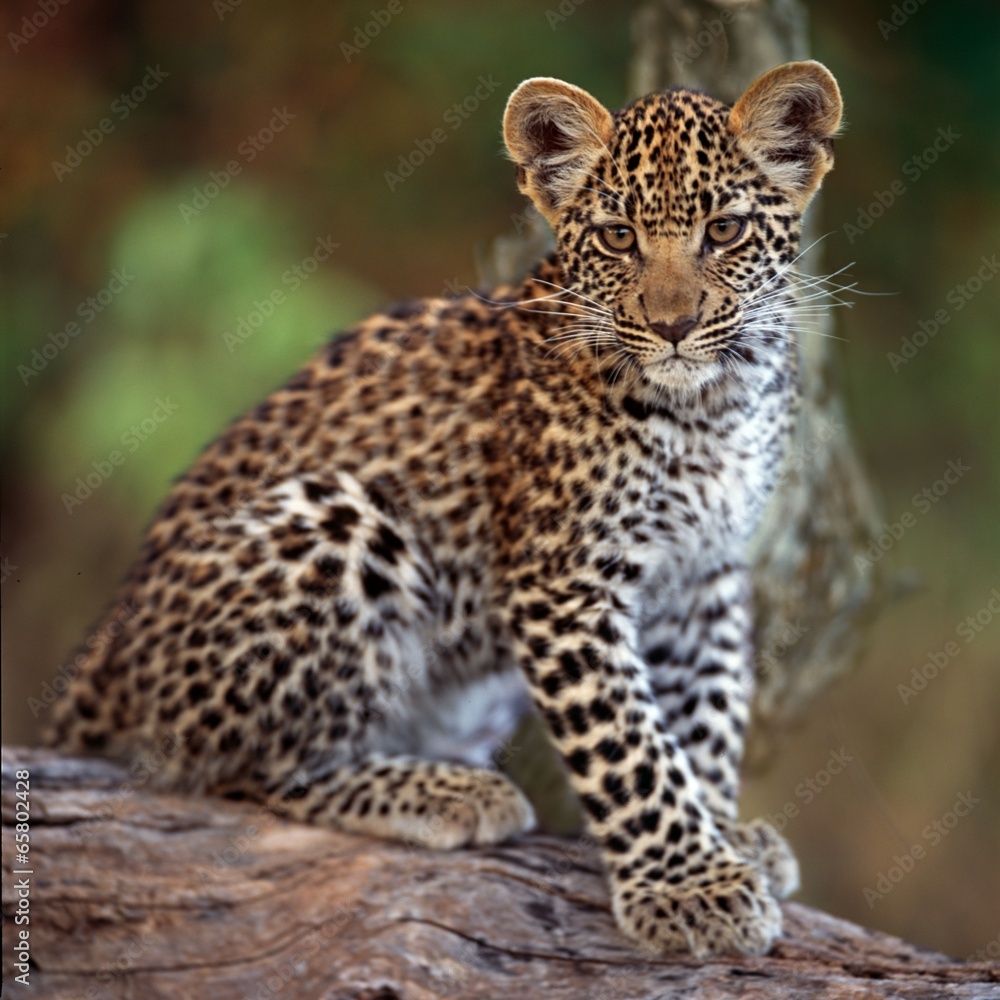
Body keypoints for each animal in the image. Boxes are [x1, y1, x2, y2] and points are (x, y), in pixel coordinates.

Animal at [47, 60, 843, 957]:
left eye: (726, 230)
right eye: (616, 238)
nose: (673, 326)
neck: (714, 404)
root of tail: (105, 651)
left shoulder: (705, 569)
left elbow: (705, 711)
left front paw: (721, 832)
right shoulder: (563, 580)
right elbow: (629, 743)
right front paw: (691, 885)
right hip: (338, 519)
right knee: (236, 776)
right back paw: (444, 793)